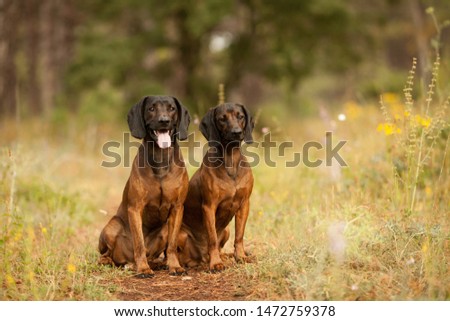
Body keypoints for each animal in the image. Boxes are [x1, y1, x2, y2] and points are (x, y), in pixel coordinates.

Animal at [98, 94, 190, 276]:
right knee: (106, 254)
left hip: (164, 230)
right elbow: (139, 243)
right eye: (151, 108)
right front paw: (143, 269)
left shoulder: (177, 208)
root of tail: (128, 261)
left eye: (172, 108)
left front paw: (175, 266)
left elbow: (172, 244)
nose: (164, 120)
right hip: (112, 226)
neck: (160, 157)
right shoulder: (135, 208)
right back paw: (116, 262)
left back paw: (158, 263)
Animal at [178, 102, 255, 270]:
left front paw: (240, 256)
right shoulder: (209, 207)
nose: (236, 132)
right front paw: (216, 263)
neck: (230, 161)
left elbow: (239, 236)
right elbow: (212, 238)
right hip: (182, 235)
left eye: (240, 116)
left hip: (226, 230)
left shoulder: (244, 204)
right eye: (222, 119)